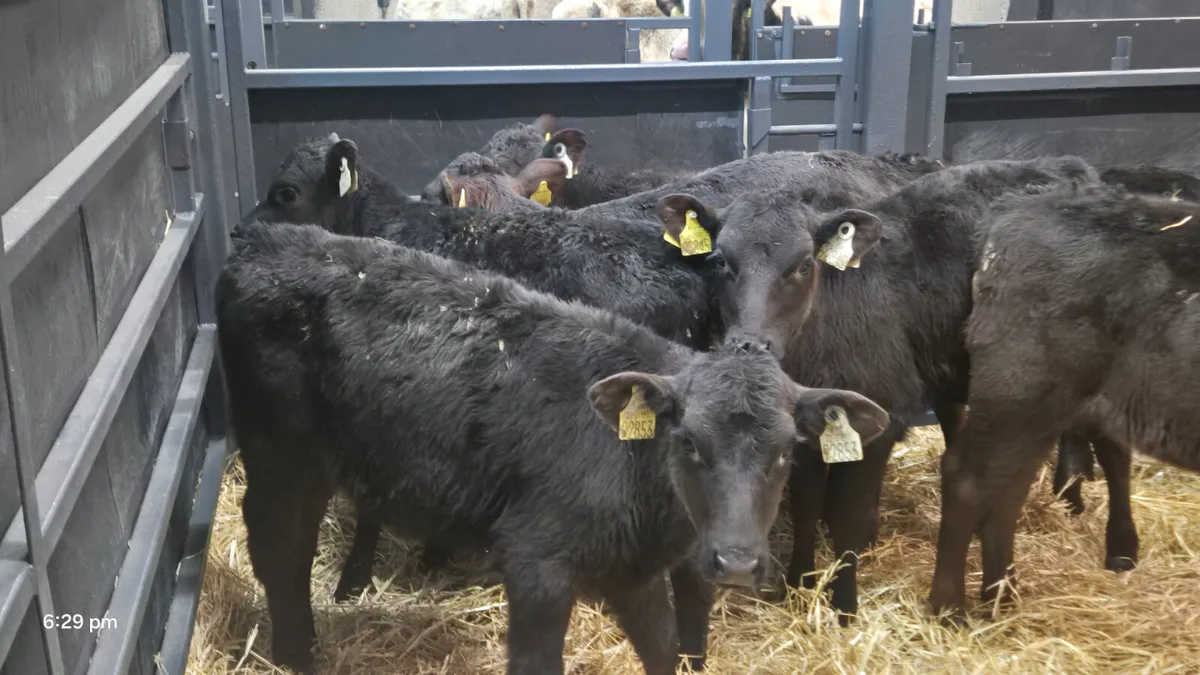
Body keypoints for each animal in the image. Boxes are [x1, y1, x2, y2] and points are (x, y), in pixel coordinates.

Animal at [216, 219, 891, 674]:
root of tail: (267, 239)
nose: (737, 563)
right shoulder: (535, 563)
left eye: (784, 452)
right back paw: (294, 655)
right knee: (277, 548)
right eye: (690, 443)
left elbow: (665, 651)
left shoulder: (633, 573)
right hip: (278, 455)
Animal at [667, 156, 1102, 622]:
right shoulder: (802, 431)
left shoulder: (879, 424)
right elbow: (805, 505)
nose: (749, 343)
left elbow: (849, 516)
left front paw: (844, 605)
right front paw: (798, 584)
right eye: (721, 262)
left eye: (803, 265)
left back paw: (1071, 500)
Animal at [929, 183, 1200, 622]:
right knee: (969, 482)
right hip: (1021, 392)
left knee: (1006, 492)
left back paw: (1002, 594)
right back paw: (950, 606)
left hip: (1043, 407)